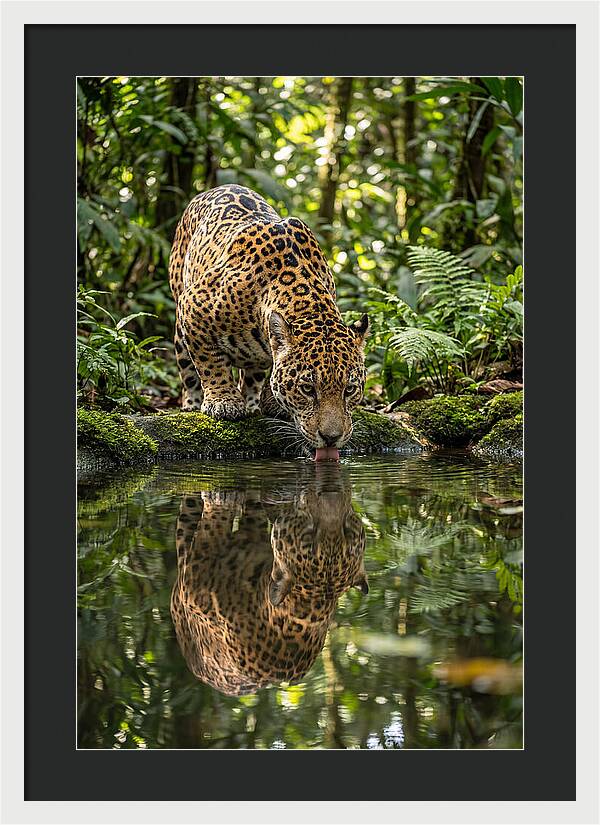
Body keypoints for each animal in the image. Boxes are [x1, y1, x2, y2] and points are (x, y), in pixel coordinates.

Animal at [168, 184, 369, 459]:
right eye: (308, 389)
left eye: (349, 390)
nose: (331, 438)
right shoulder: (192, 306)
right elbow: (210, 363)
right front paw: (224, 402)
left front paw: (272, 402)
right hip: (180, 318)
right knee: (188, 369)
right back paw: (192, 403)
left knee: (252, 373)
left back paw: (253, 402)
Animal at [169, 467, 368, 696]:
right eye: (309, 535)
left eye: (348, 531)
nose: (331, 492)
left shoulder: (195, 580)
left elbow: (215, 523)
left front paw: (222, 497)